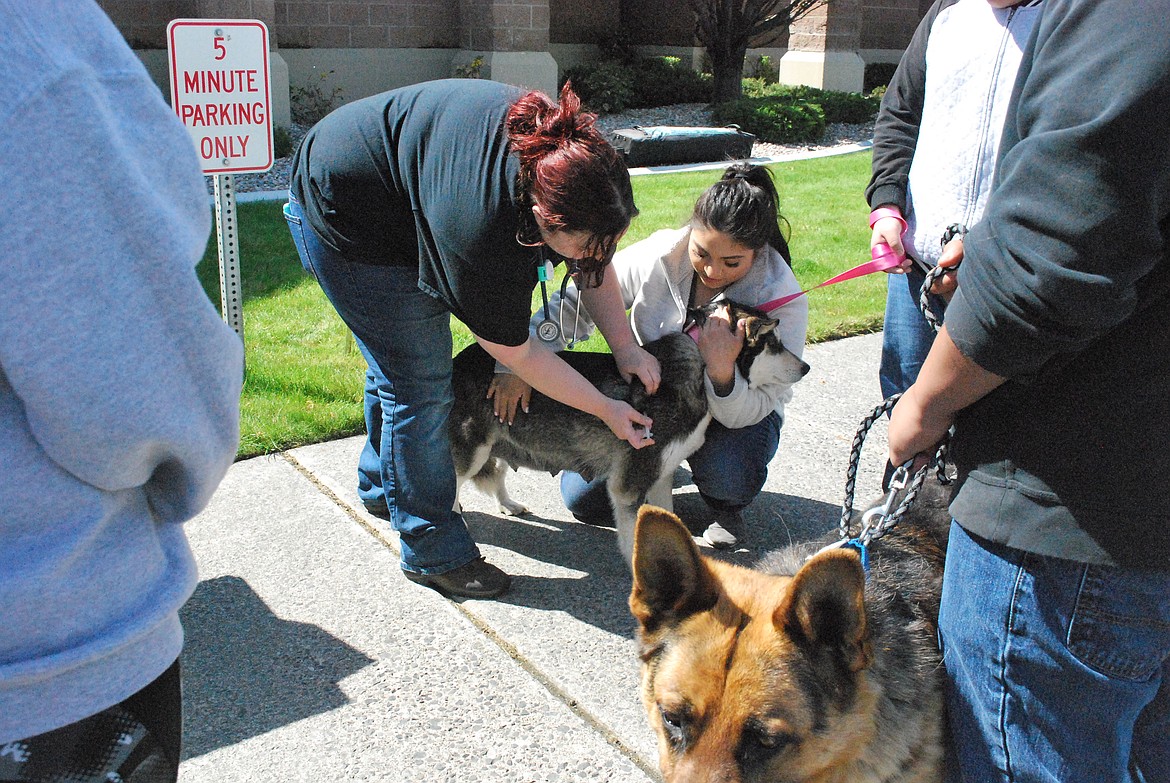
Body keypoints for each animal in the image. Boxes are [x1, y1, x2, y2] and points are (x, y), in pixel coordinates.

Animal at [442, 299, 809, 561]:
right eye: (773, 343)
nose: (806, 367)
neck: (702, 370)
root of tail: (457, 361)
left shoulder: (661, 474)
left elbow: (666, 515)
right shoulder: (630, 482)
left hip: (495, 445)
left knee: (495, 476)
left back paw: (508, 504)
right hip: (473, 450)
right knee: (450, 483)